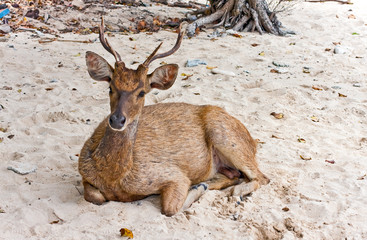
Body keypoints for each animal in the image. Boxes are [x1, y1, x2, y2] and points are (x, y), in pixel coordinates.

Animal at [80, 17, 270, 217]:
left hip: (227, 137)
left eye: (142, 92)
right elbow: (95, 196)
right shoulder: (85, 175)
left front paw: (197, 188)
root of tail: (253, 141)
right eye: (110, 87)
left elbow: (170, 208)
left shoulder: (172, 174)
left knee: (262, 177)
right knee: (236, 175)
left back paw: (230, 191)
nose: (117, 120)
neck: (115, 178)